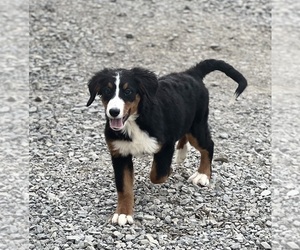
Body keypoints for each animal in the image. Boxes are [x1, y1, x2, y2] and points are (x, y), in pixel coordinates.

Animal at [85, 59, 247, 226]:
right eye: (106, 91)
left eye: (128, 91)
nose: (114, 112)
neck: (134, 122)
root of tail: (191, 73)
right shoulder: (119, 153)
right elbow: (124, 187)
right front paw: (123, 213)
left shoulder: (166, 145)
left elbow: (157, 174)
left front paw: (169, 170)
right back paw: (182, 152)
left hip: (197, 126)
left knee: (208, 145)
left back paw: (202, 175)